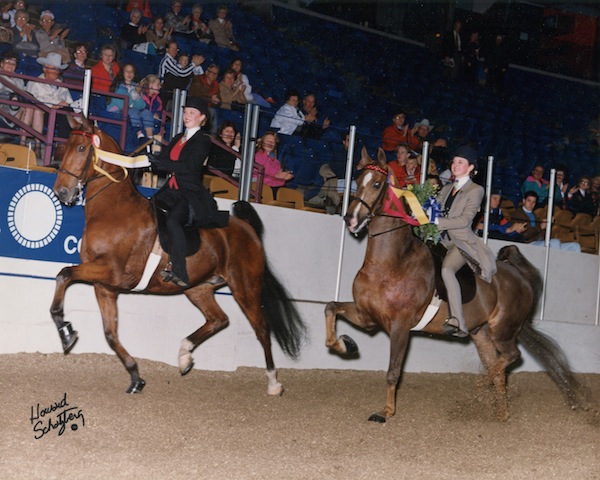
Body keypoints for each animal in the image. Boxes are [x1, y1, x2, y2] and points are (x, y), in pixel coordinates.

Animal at [49, 118, 304, 396]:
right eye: (65, 146)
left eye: (82, 148)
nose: (61, 192)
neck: (114, 209)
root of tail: (248, 229)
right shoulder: (104, 286)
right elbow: (110, 333)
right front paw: (135, 377)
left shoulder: (112, 272)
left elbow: (64, 274)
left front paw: (65, 331)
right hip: (198, 288)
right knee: (219, 319)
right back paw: (185, 355)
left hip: (245, 288)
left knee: (261, 329)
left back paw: (273, 382)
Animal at [324, 148, 580, 422]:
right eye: (358, 180)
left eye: (376, 184)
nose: (351, 219)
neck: (390, 263)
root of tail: (520, 276)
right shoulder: (367, 316)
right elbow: (330, 308)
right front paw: (346, 344)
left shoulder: (400, 325)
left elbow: (393, 370)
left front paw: (386, 412)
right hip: (481, 333)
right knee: (498, 366)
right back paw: (500, 413)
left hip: (503, 330)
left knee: (510, 357)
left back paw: (482, 386)